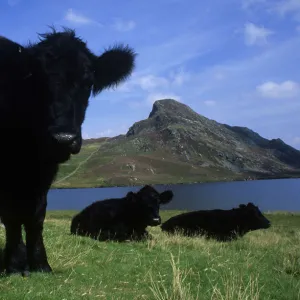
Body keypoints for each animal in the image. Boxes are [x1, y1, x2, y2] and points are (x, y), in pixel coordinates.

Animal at [0, 28, 136, 276]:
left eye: (88, 81)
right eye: (36, 79)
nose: (63, 138)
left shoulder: (44, 171)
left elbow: (37, 215)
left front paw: (40, 263)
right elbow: (12, 216)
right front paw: (14, 265)